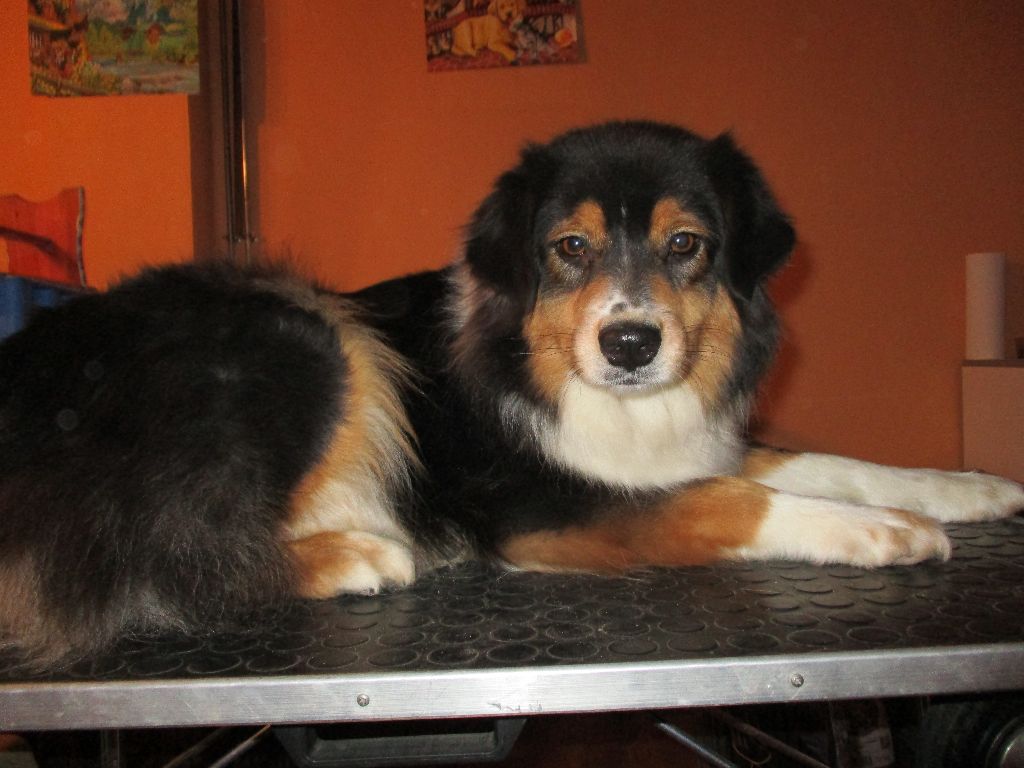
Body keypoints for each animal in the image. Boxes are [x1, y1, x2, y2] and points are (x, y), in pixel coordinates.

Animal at [1, 121, 1022, 668]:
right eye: (569, 247)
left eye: (685, 244)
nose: (630, 343)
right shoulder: (543, 505)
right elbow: (732, 499)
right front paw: (881, 532)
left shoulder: (689, 442)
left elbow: (819, 458)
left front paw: (965, 488)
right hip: (313, 331)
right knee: (163, 561)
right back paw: (355, 554)